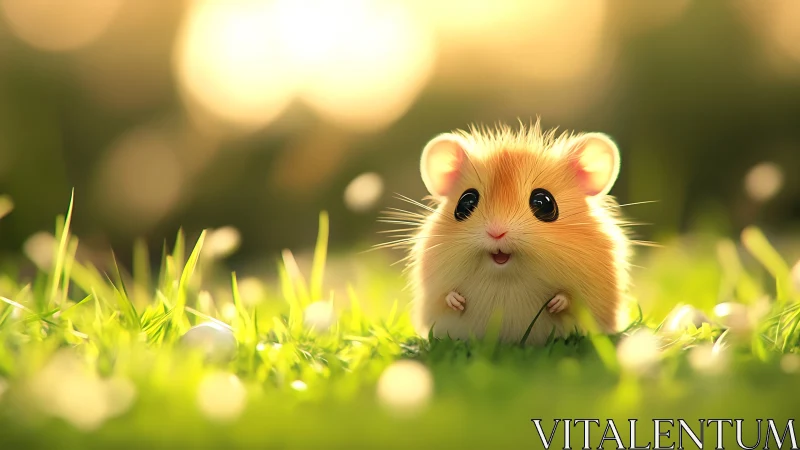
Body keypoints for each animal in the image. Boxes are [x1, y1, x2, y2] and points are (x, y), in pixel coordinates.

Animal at [385, 121, 633, 346]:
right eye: (465, 203)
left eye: (544, 203)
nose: (497, 233)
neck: (506, 275)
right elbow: (446, 296)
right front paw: (458, 301)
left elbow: (570, 299)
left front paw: (555, 303)